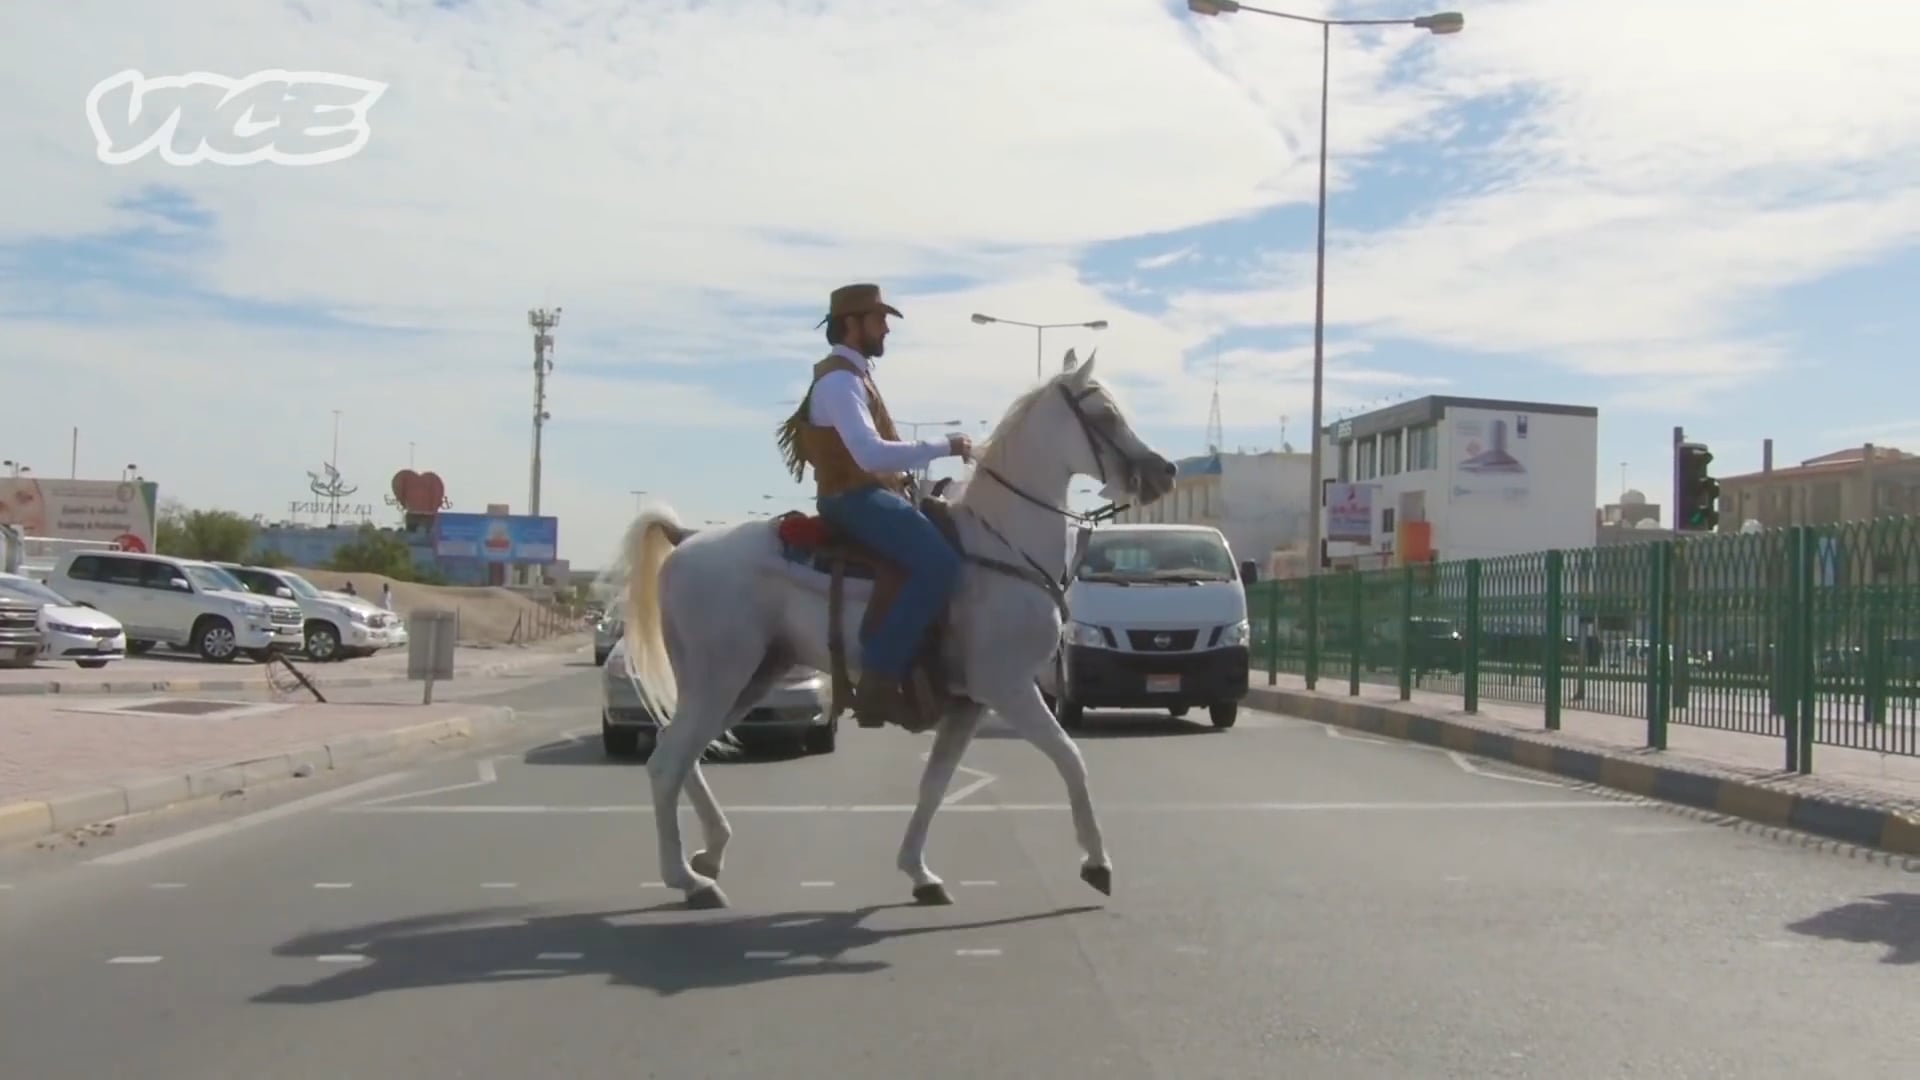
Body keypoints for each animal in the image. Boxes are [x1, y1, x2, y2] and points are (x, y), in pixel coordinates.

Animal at [622, 349, 1175, 903]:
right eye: (1105, 413)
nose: (1164, 471)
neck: (1002, 547)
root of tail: (685, 538)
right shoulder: (1010, 688)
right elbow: (1070, 757)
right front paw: (1097, 862)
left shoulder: (969, 704)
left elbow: (935, 784)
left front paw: (919, 872)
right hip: (721, 676)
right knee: (668, 762)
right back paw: (688, 879)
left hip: (749, 677)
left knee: (683, 751)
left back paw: (711, 852)